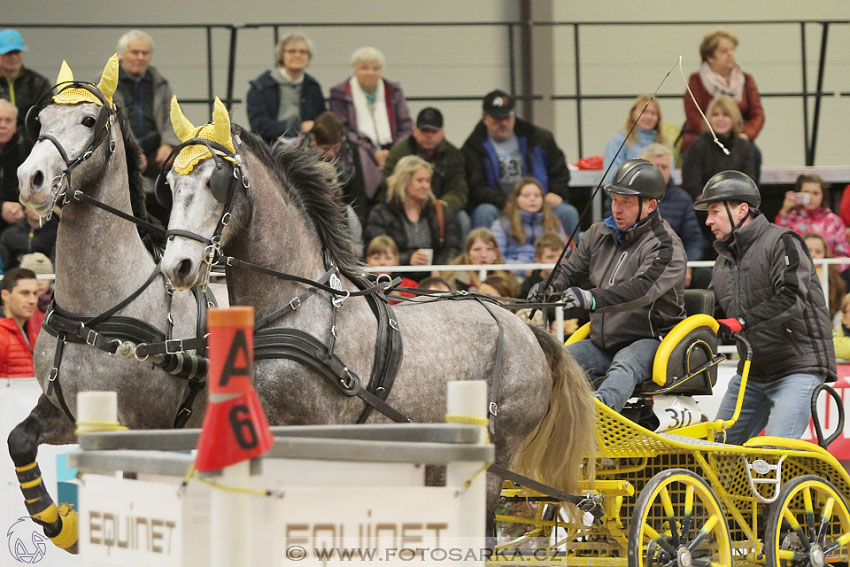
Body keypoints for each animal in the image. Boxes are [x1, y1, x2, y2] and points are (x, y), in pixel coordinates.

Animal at [7, 57, 219, 556]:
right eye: (41, 121)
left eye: (89, 121)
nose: (30, 179)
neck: (94, 315)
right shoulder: (68, 414)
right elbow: (19, 440)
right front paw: (63, 524)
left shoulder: (143, 431)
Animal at [161, 98, 596, 524]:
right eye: (170, 185)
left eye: (215, 182)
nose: (176, 266)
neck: (300, 308)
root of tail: (525, 328)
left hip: (496, 450)